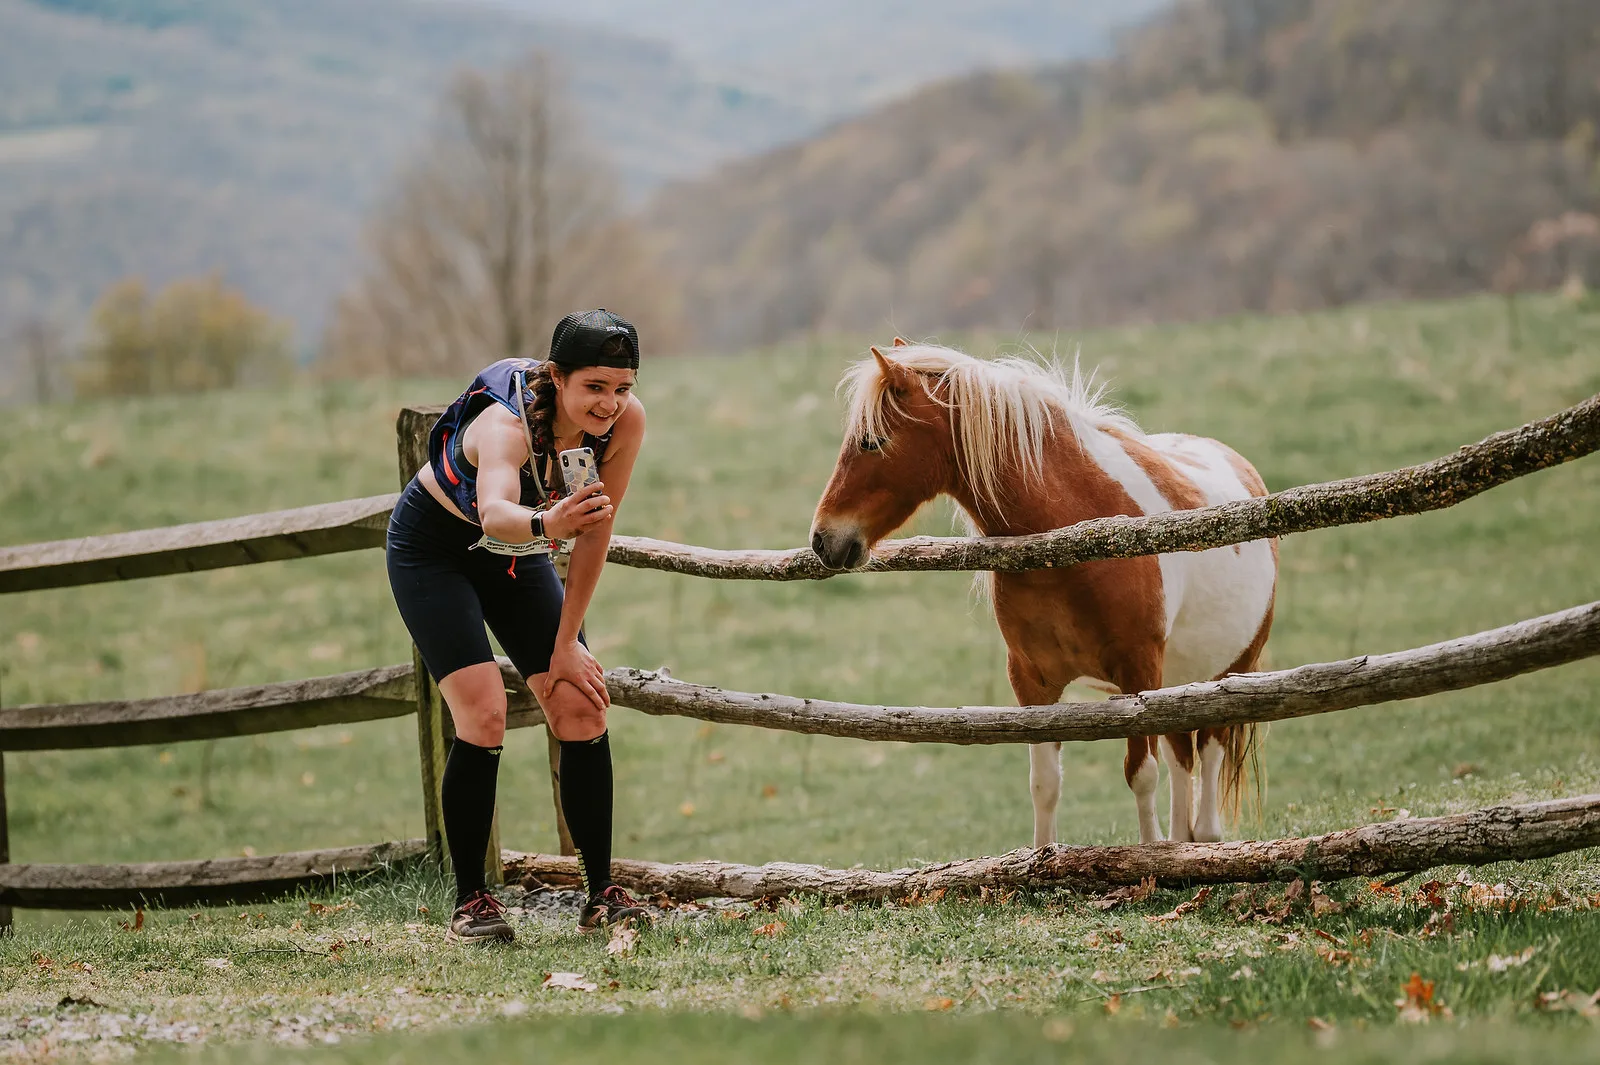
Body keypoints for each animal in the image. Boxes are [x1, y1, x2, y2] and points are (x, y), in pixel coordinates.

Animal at [808, 338, 1277, 846]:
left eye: (872, 441)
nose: (823, 540)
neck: (1070, 538)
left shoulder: (1138, 673)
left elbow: (1141, 775)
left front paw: (1151, 855)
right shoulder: (1033, 680)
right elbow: (1045, 784)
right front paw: (1042, 856)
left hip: (1229, 672)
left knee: (1206, 764)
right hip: (1178, 682)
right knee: (1182, 762)